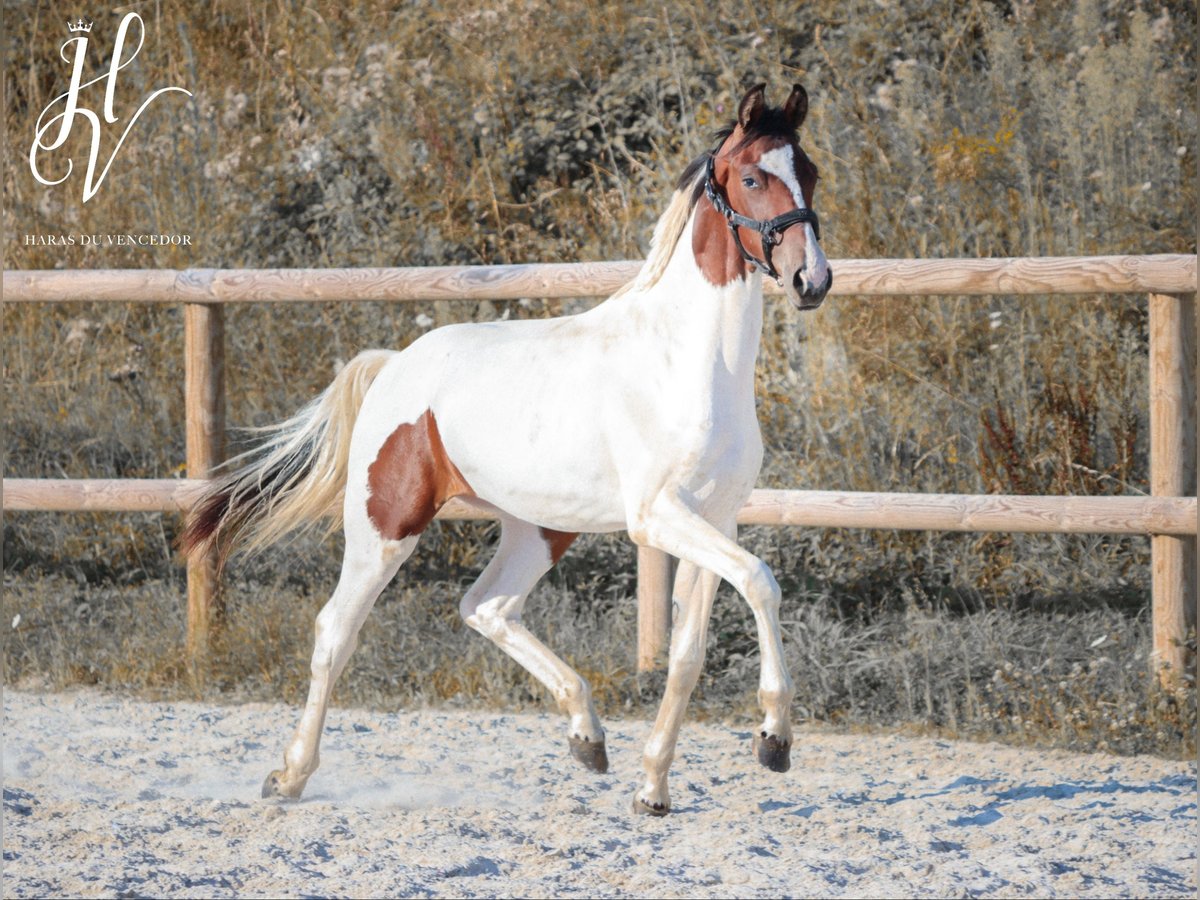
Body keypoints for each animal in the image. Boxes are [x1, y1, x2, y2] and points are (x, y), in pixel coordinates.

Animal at [180, 84, 835, 816]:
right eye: (751, 178)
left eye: (809, 172)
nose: (811, 280)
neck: (691, 362)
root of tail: (394, 364)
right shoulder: (658, 516)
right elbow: (761, 581)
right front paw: (773, 739)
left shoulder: (716, 519)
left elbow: (690, 650)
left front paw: (654, 788)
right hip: (386, 525)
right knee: (335, 630)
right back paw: (288, 777)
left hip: (539, 529)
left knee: (485, 606)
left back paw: (588, 736)